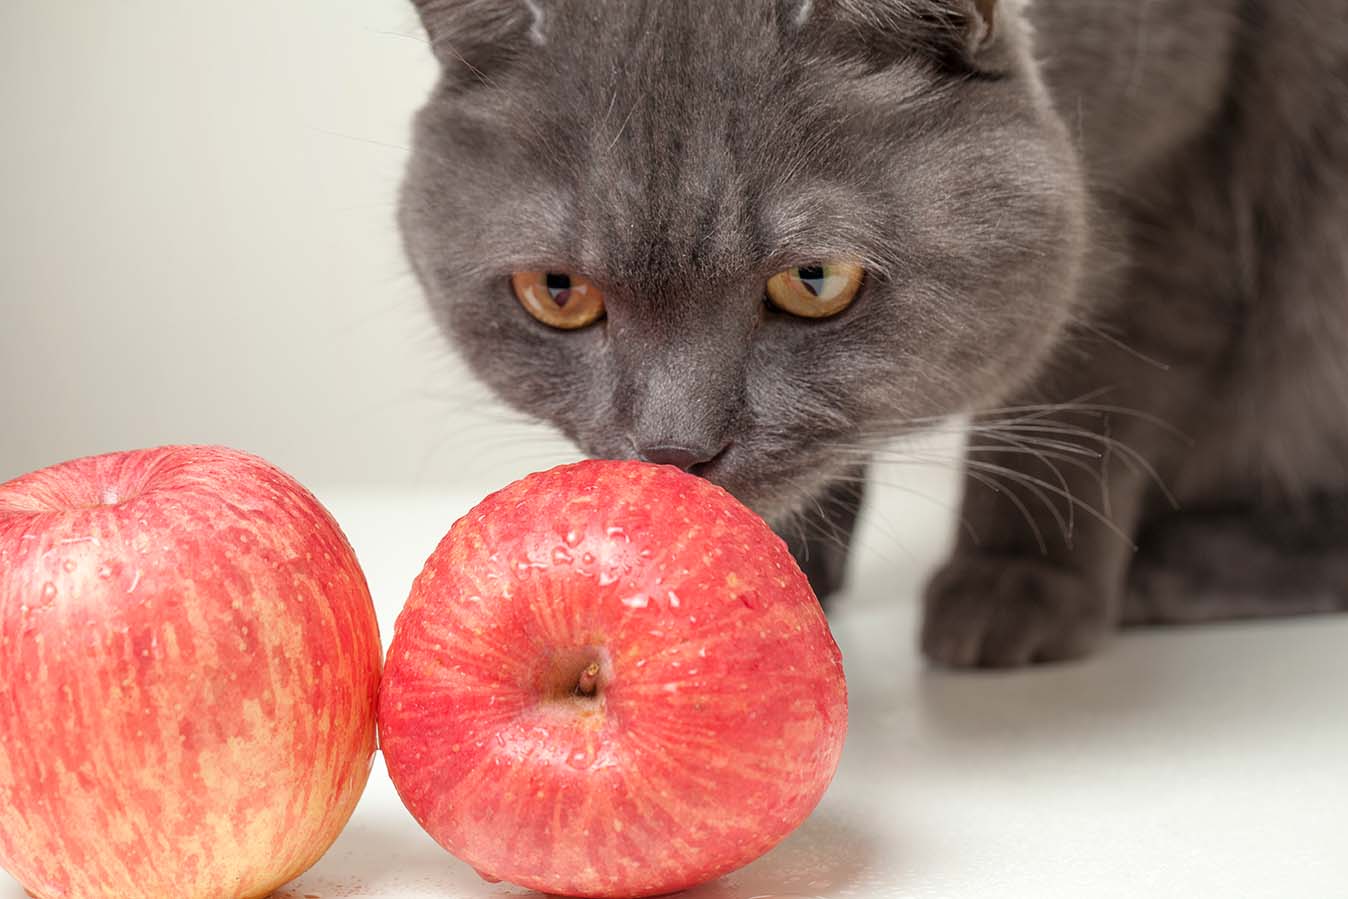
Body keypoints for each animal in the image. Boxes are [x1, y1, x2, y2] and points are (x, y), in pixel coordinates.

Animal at [396, 0, 1348, 668]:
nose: (677, 448)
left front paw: (1019, 579)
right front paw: (791, 569)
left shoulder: (1174, 170)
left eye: (816, 280)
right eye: (558, 293)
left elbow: (1089, 385)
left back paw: (1167, 568)